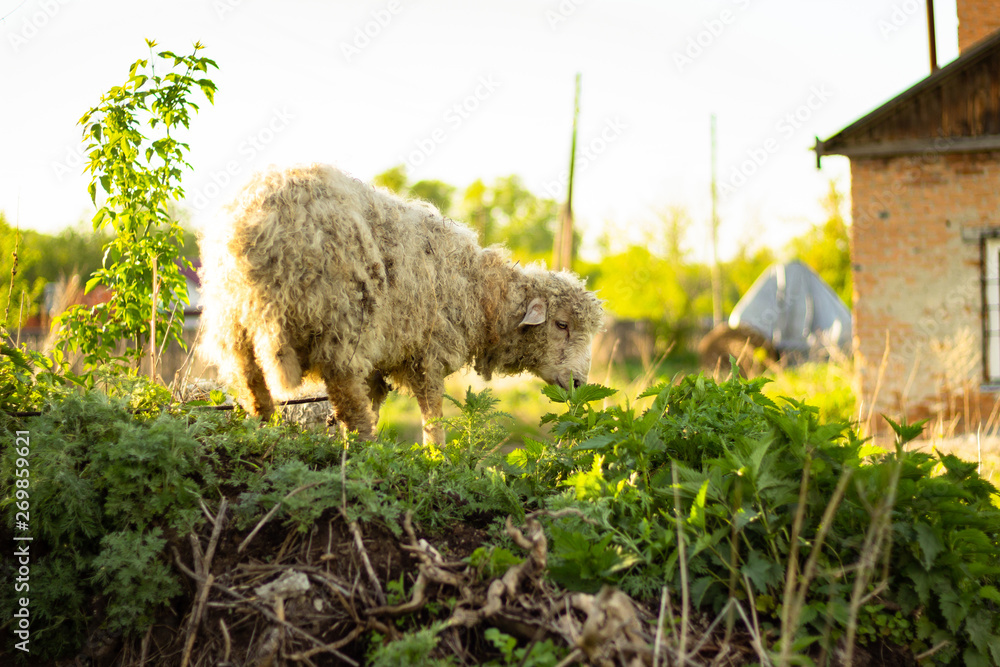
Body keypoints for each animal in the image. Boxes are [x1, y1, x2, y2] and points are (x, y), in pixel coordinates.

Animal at [198, 164, 605, 444]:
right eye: (562, 324)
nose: (578, 383)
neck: (481, 293)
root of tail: (258, 223)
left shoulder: (382, 359)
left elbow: (376, 400)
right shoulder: (428, 353)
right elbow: (432, 413)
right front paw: (437, 456)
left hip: (233, 320)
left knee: (254, 387)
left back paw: (270, 435)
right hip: (340, 320)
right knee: (347, 395)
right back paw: (365, 450)